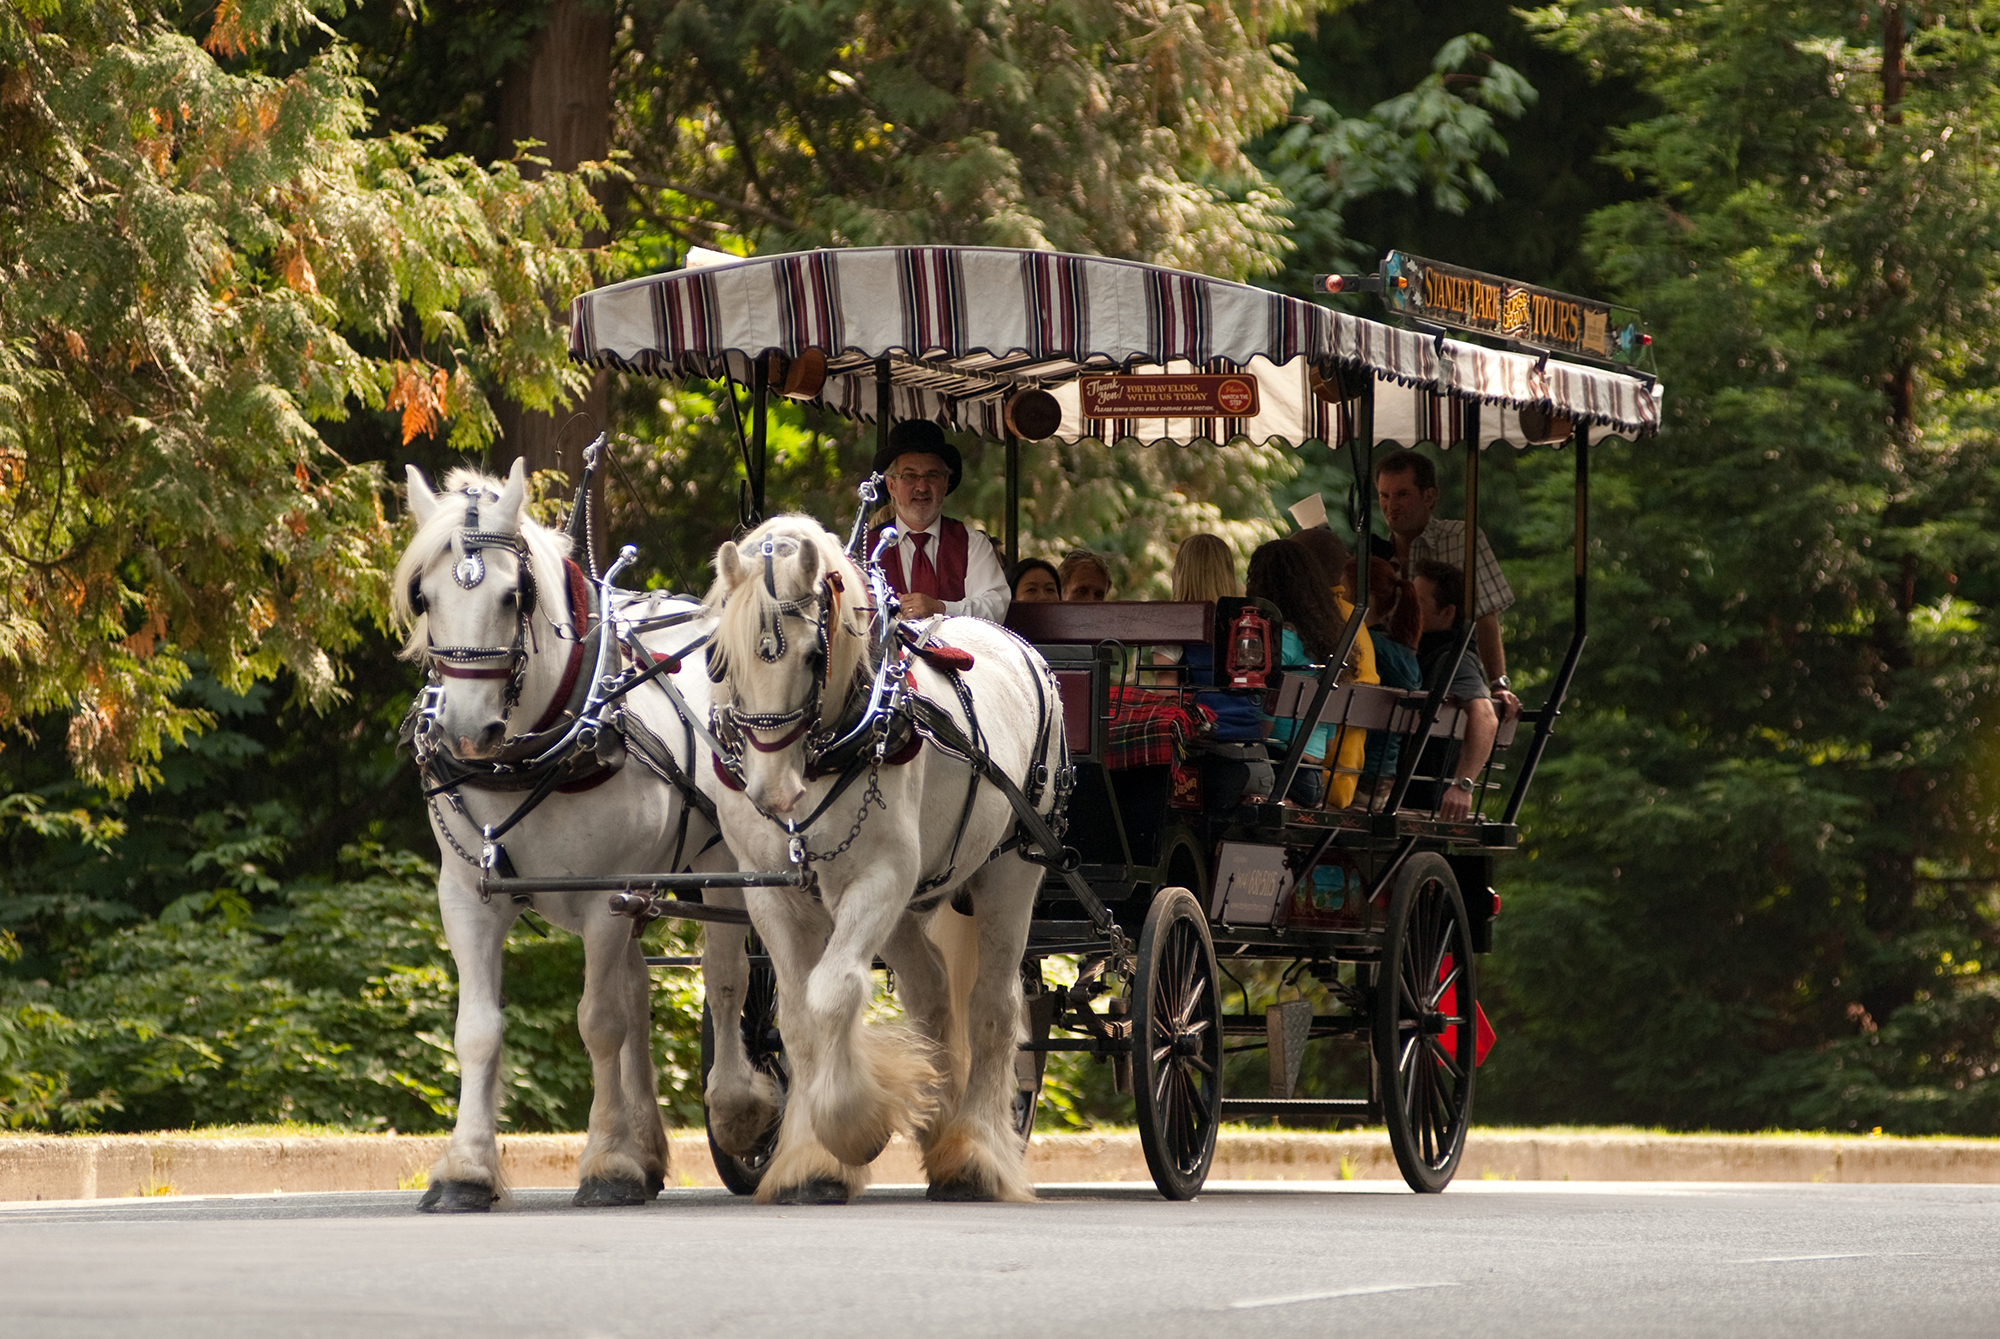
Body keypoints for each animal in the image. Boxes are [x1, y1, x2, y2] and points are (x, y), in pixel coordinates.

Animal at [394, 461, 768, 1215]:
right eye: (423, 596)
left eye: (513, 595)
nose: (465, 732)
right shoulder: (466, 895)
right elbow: (478, 1030)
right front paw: (465, 1169)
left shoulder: (603, 896)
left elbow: (598, 1022)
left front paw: (607, 1165)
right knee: (639, 991)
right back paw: (647, 1145)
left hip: (720, 868)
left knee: (727, 979)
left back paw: (739, 1109)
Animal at [704, 515, 1064, 1207]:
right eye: (725, 658)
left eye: (812, 656)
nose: (771, 791)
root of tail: (1016, 644)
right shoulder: (775, 894)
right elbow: (796, 1017)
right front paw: (808, 1160)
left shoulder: (880, 878)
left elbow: (834, 991)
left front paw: (850, 1127)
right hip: (912, 902)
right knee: (932, 992)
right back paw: (940, 1121)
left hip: (1012, 865)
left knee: (994, 1007)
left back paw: (975, 1153)